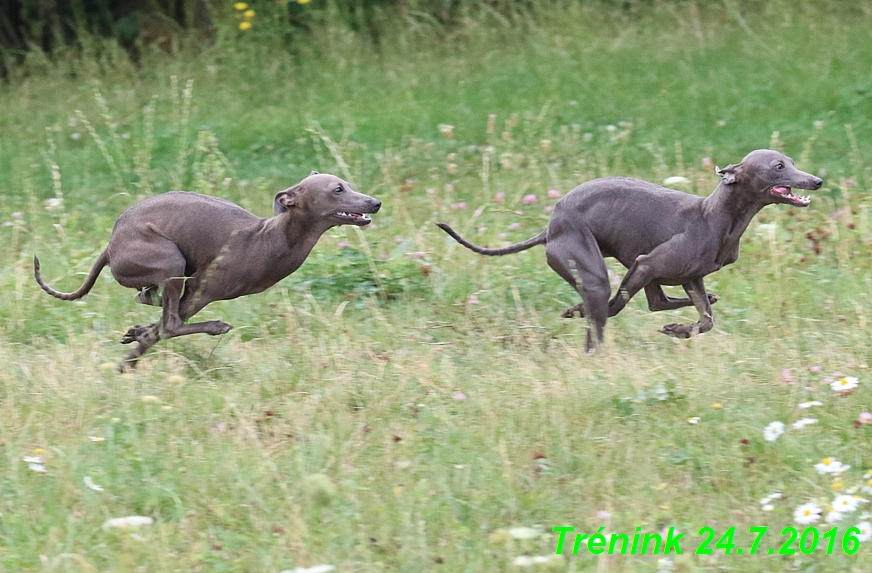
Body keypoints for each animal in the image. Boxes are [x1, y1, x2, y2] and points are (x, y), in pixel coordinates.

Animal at [436, 149, 824, 348]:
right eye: (778, 166)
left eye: (791, 161)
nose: (817, 180)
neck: (714, 216)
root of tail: (550, 226)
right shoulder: (645, 264)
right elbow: (615, 307)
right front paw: (579, 311)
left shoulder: (690, 277)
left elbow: (707, 320)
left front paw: (681, 329)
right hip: (596, 271)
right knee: (609, 308)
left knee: (657, 302)